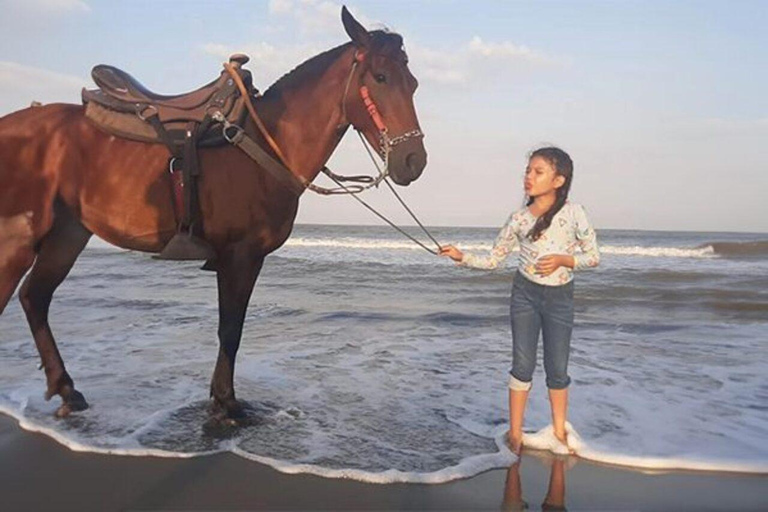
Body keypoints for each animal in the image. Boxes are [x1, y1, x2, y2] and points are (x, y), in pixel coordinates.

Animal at [0, 7, 426, 420]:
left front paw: (223, 399)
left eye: (414, 84)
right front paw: (226, 403)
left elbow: (232, 329)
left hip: (68, 234)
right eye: (381, 77)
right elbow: (230, 331)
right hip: (19, 240)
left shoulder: (246, 259)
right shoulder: (239, 255)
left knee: (35, 297)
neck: (266, 143)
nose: (413, 162)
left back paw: (67, 391)